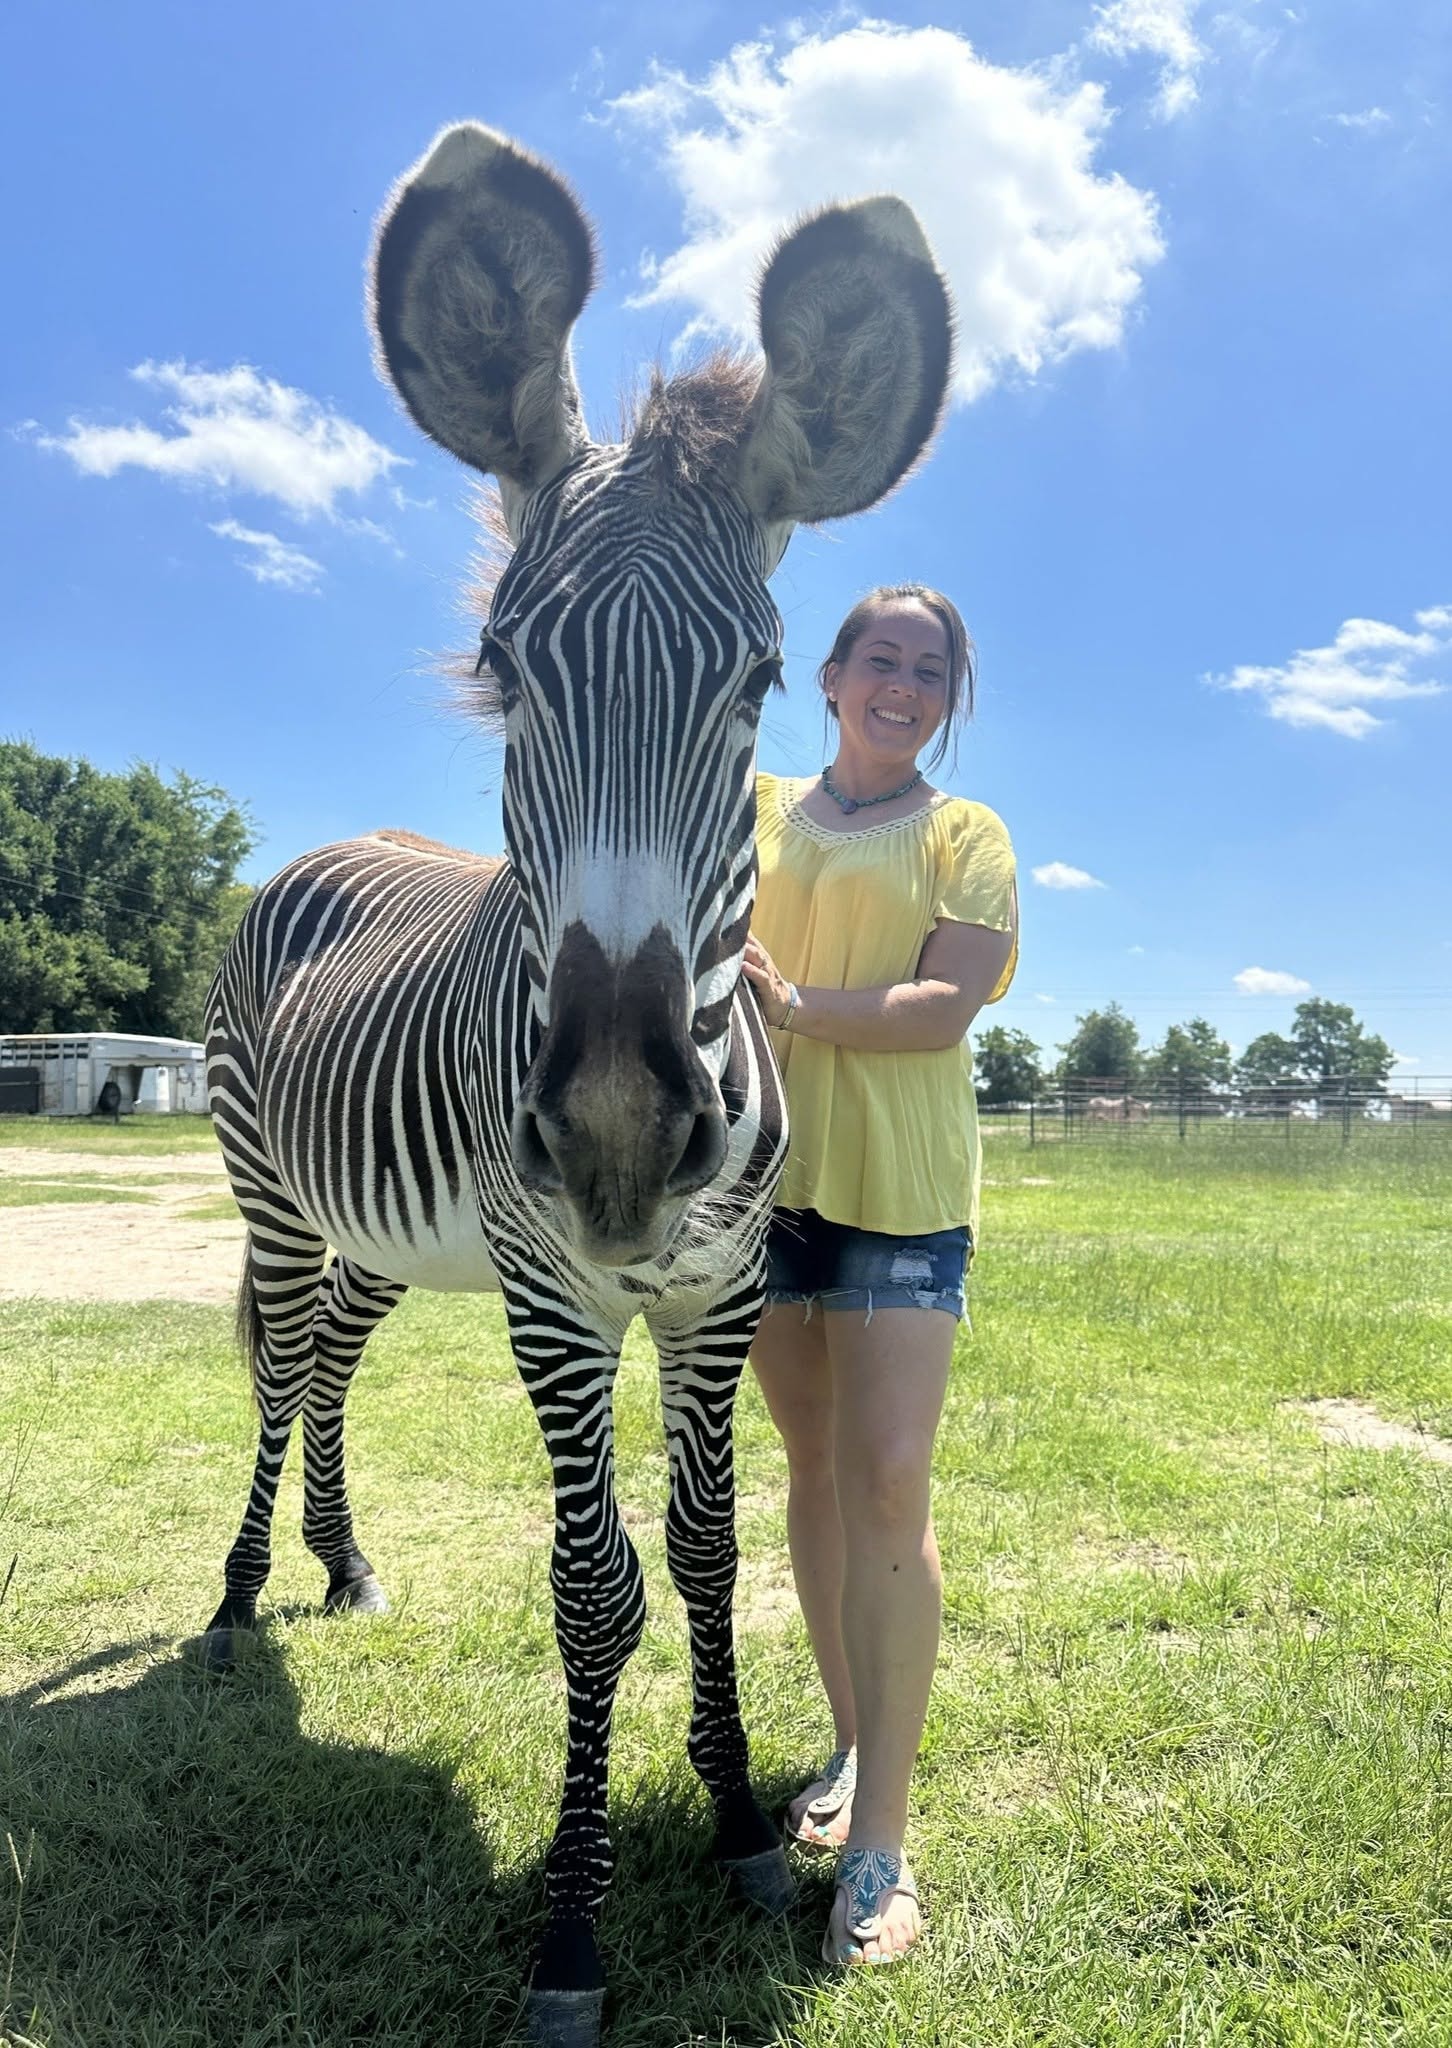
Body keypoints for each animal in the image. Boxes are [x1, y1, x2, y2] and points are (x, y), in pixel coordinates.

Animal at [201, 123, 952, 2046]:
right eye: (501, 663)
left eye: (759, 679)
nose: (618, 1131)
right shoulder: (553, 1295)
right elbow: (596, 1581)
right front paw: (570, 1923)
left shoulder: (717, 1290)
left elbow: (704, 1548)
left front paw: (748, 1825)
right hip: (272, 1190)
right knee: (278, 1370)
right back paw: (238, 1596)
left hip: (385, 1239)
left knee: (329, 1366)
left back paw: (339, 1561)